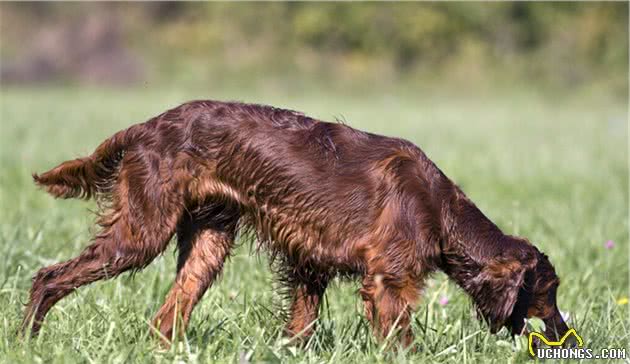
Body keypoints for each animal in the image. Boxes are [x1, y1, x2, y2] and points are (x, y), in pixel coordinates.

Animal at [23, 99, 568, 346]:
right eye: (550, 290)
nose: (566, 332)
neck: (440, 208)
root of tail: (144, 127)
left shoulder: (311, 265)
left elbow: (299, 327)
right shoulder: (388, 281)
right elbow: (401, 340)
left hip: (207, 244)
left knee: (166, 317)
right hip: (141, 234)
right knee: (48, 276)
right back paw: (26, 338)